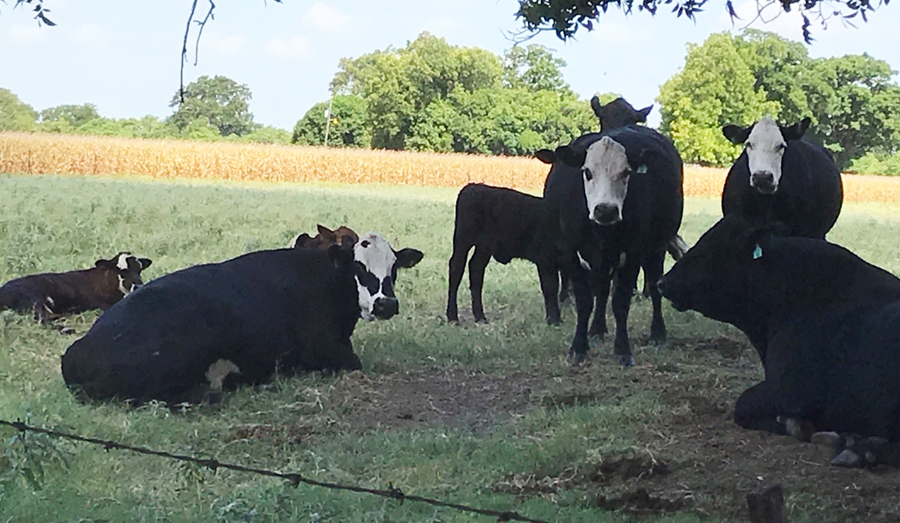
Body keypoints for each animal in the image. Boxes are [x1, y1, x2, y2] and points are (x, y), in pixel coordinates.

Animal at [446, 183, 561, 325]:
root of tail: (473, 186)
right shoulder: (546, 259)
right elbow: (551, 287)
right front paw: (554, 320)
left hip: (484, 246)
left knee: (476, 267)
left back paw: (480, 316)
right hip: (463, 239)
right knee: (456, 268)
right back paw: (452, 316)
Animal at [543, 125, 684, 366]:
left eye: (626, 172)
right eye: (587, 172)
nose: (606, 210)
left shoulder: (633, 253)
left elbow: (620, 302)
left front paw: (623, 349)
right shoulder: (572, 253)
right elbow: (585, 301)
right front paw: (579, 347)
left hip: (655, 249)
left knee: (654, 286)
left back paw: (657, 333)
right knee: (601, 291)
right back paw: (597, 329)